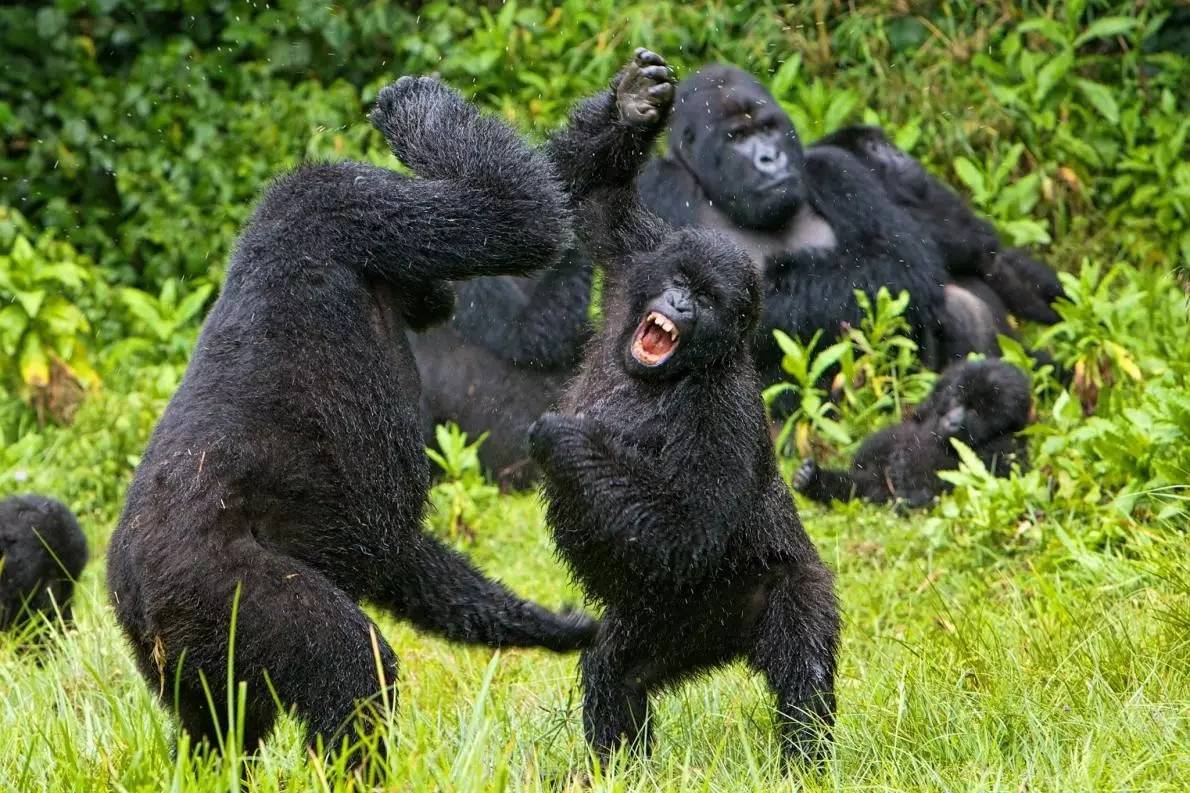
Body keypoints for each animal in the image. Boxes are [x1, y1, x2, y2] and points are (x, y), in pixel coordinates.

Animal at [107, 74, 599, 762]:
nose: (440, 300)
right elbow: (511, 216)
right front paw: (418, 109)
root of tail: (132, 592)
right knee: (349, 666)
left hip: (185, 651)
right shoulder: (345, 200)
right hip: (221, 589)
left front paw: (553, 625)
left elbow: (409, 563)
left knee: (220, 733)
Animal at [525, 49, 842, 766]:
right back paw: (619, 763)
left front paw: (562, 439)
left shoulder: (722, 411)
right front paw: (635, 106)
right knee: (616, 670)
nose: (677, 307)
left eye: (708, 299)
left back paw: (806, 758)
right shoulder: (639, 257)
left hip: (784, 586)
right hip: (669, 624)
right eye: (679, 282)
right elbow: (592, 201)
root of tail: (730, 638)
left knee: (802, 675)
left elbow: (687, 527)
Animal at [794, 357, 1037, 507]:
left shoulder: (1008, 448)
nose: (953, 421)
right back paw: (811, 479)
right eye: (958, 398)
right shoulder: (936, 395)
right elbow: (892, 435)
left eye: (977, 411)